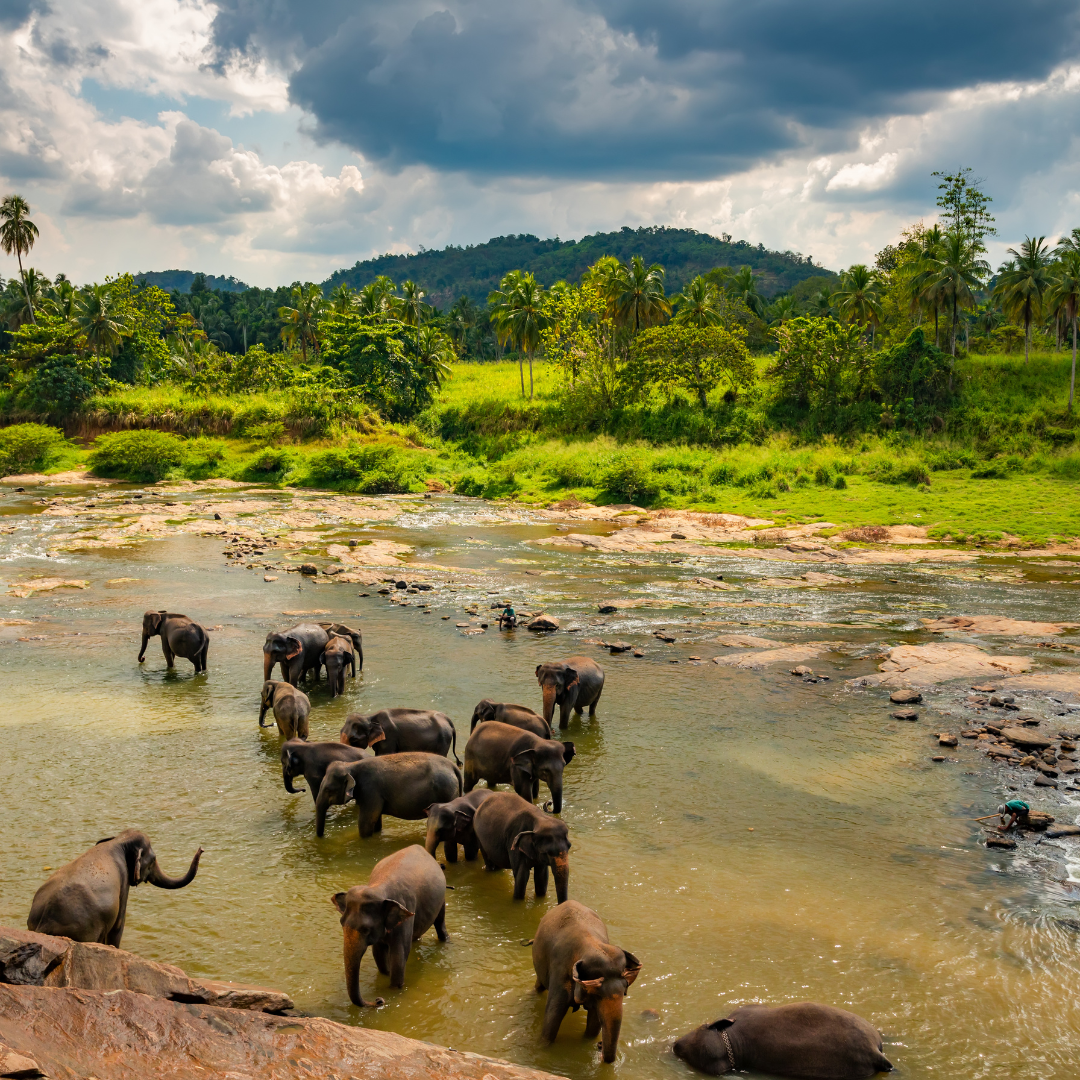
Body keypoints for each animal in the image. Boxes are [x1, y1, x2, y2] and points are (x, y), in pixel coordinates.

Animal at [27, 830, 203, 947]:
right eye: (153, 860)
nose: (201, 849)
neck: (118, 841)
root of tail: (46, 920)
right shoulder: (123, 880)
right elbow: (118, 925)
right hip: (84, 930)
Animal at [315, 753, 463, 838]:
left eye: (328, 789)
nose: (322, 837)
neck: (351, 766)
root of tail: (453, 767)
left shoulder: (370, 790)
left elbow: (365, 821)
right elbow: (376, 820)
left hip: (447, 792)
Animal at [331, 845, 447, 1008]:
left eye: (365, 930)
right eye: (341, 923)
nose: (378, 1000)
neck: (378, 887)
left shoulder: (406, 910)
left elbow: (399, 954)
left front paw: (394, 990)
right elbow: (378, 952)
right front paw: (385, 974)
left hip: (442, 898)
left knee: (440, 922)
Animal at [531, 900, 641, 1064]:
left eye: (624, 992)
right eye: (598, 994)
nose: (600, 1045)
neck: (592, 944)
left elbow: (594, 1023)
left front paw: (588, 1041)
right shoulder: (560, 972)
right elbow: (552, 1018)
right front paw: (543, 1049)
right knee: (539, 986)